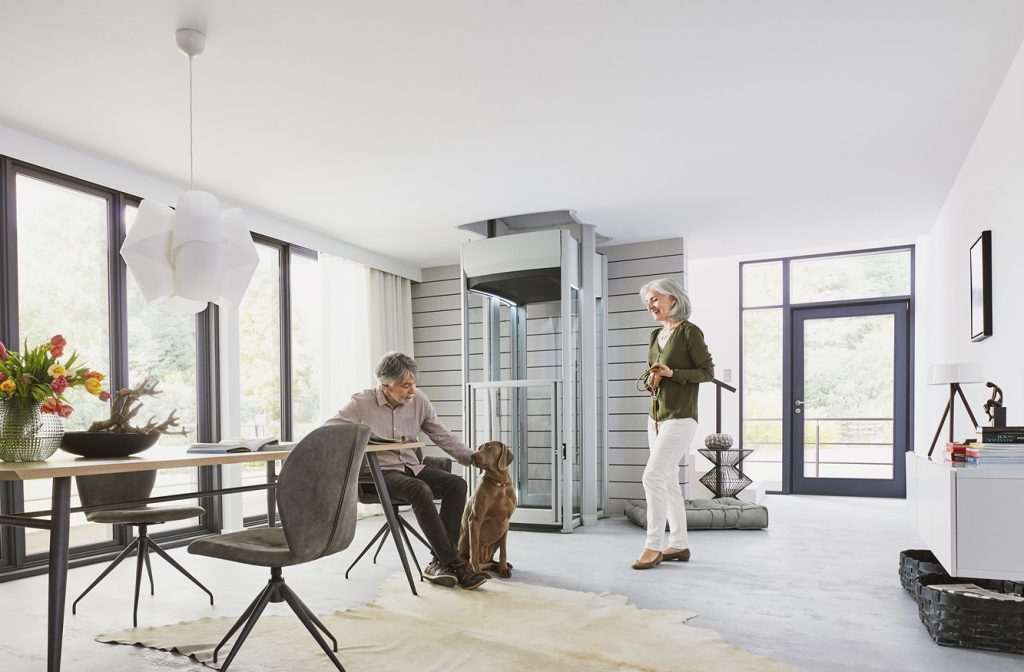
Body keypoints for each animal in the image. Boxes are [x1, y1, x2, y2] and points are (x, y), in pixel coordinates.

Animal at [458, 440, 516, 577]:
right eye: (479, 448)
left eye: (489, 447)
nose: (473, 456)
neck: (499, 484)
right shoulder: (475, 520)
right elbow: (474, 549)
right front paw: (477, 571)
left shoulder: (506, 523)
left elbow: (503, 551)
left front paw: (503, 568)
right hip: (464, 541)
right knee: (471, 559)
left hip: (496, 540)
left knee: (490, 561)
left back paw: (502, 566)